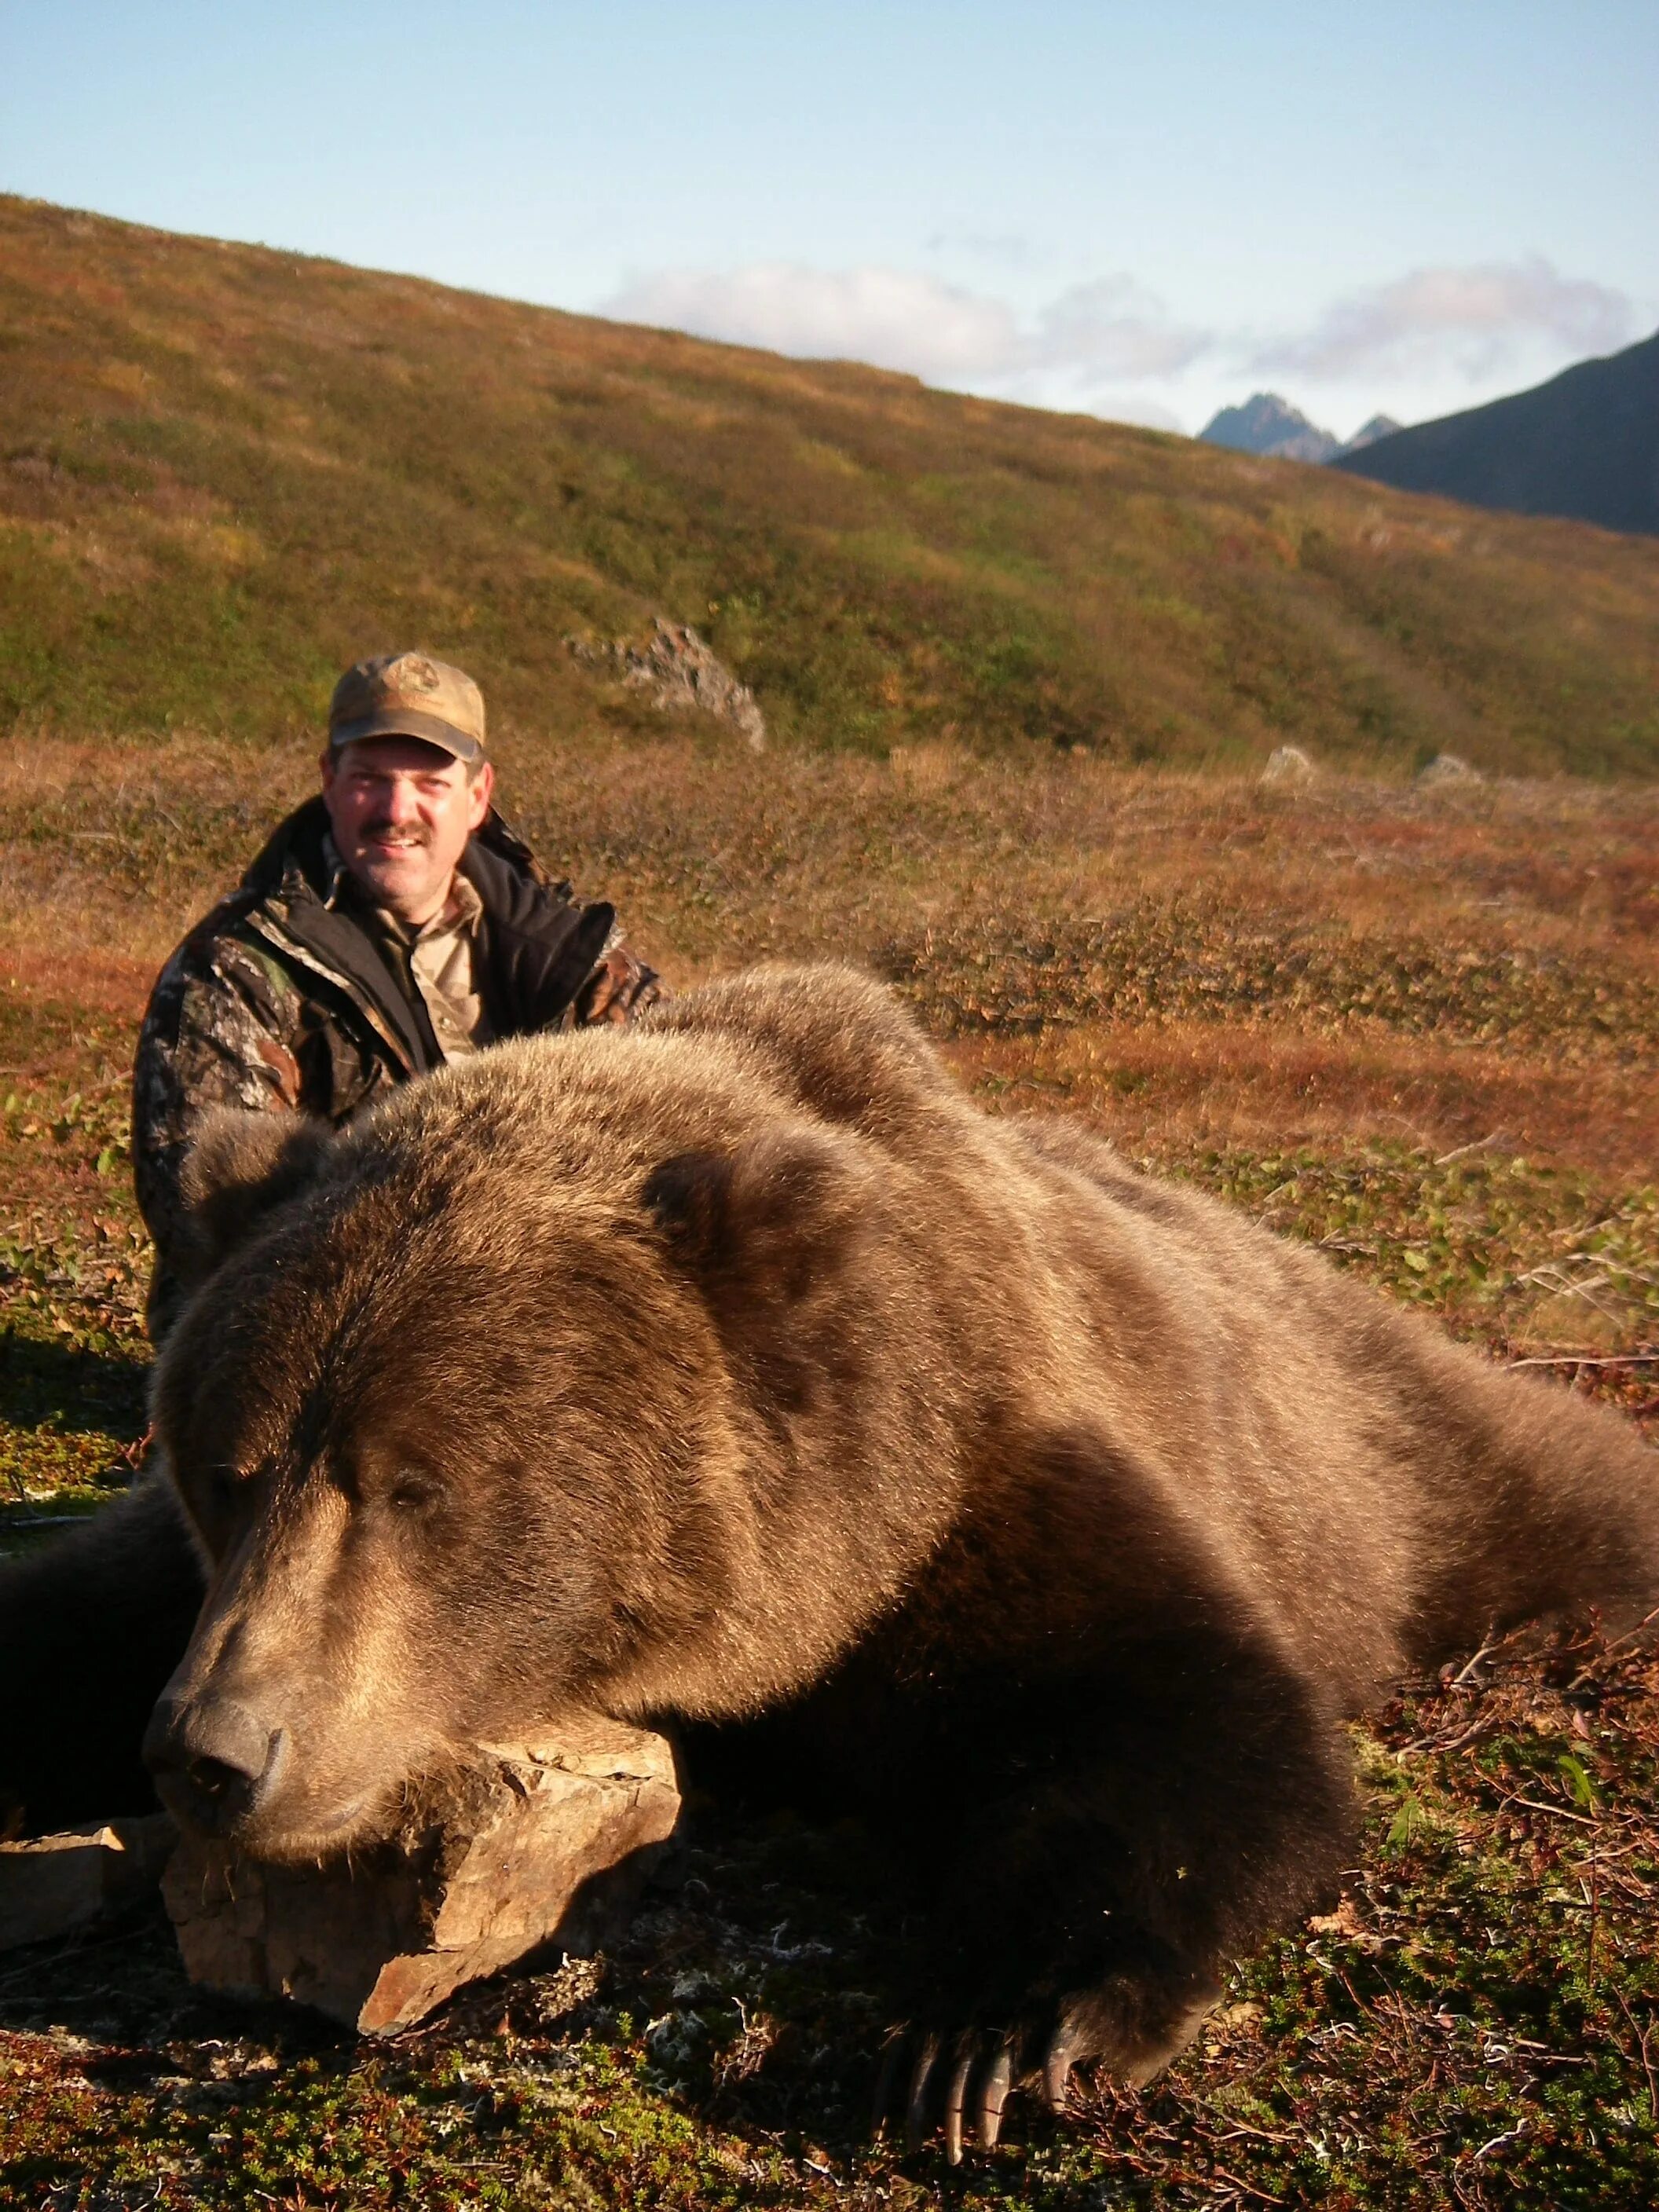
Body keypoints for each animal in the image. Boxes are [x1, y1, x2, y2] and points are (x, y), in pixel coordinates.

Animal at [3, 969, 1659, 2159]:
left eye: (417, 1486)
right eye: (229, 1469)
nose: (217, 1752)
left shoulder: (968, 1489)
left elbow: (1188, 1723)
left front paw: (991, 2040)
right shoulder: (184, 1591)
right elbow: (72, 1621)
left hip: (1382, 1455)